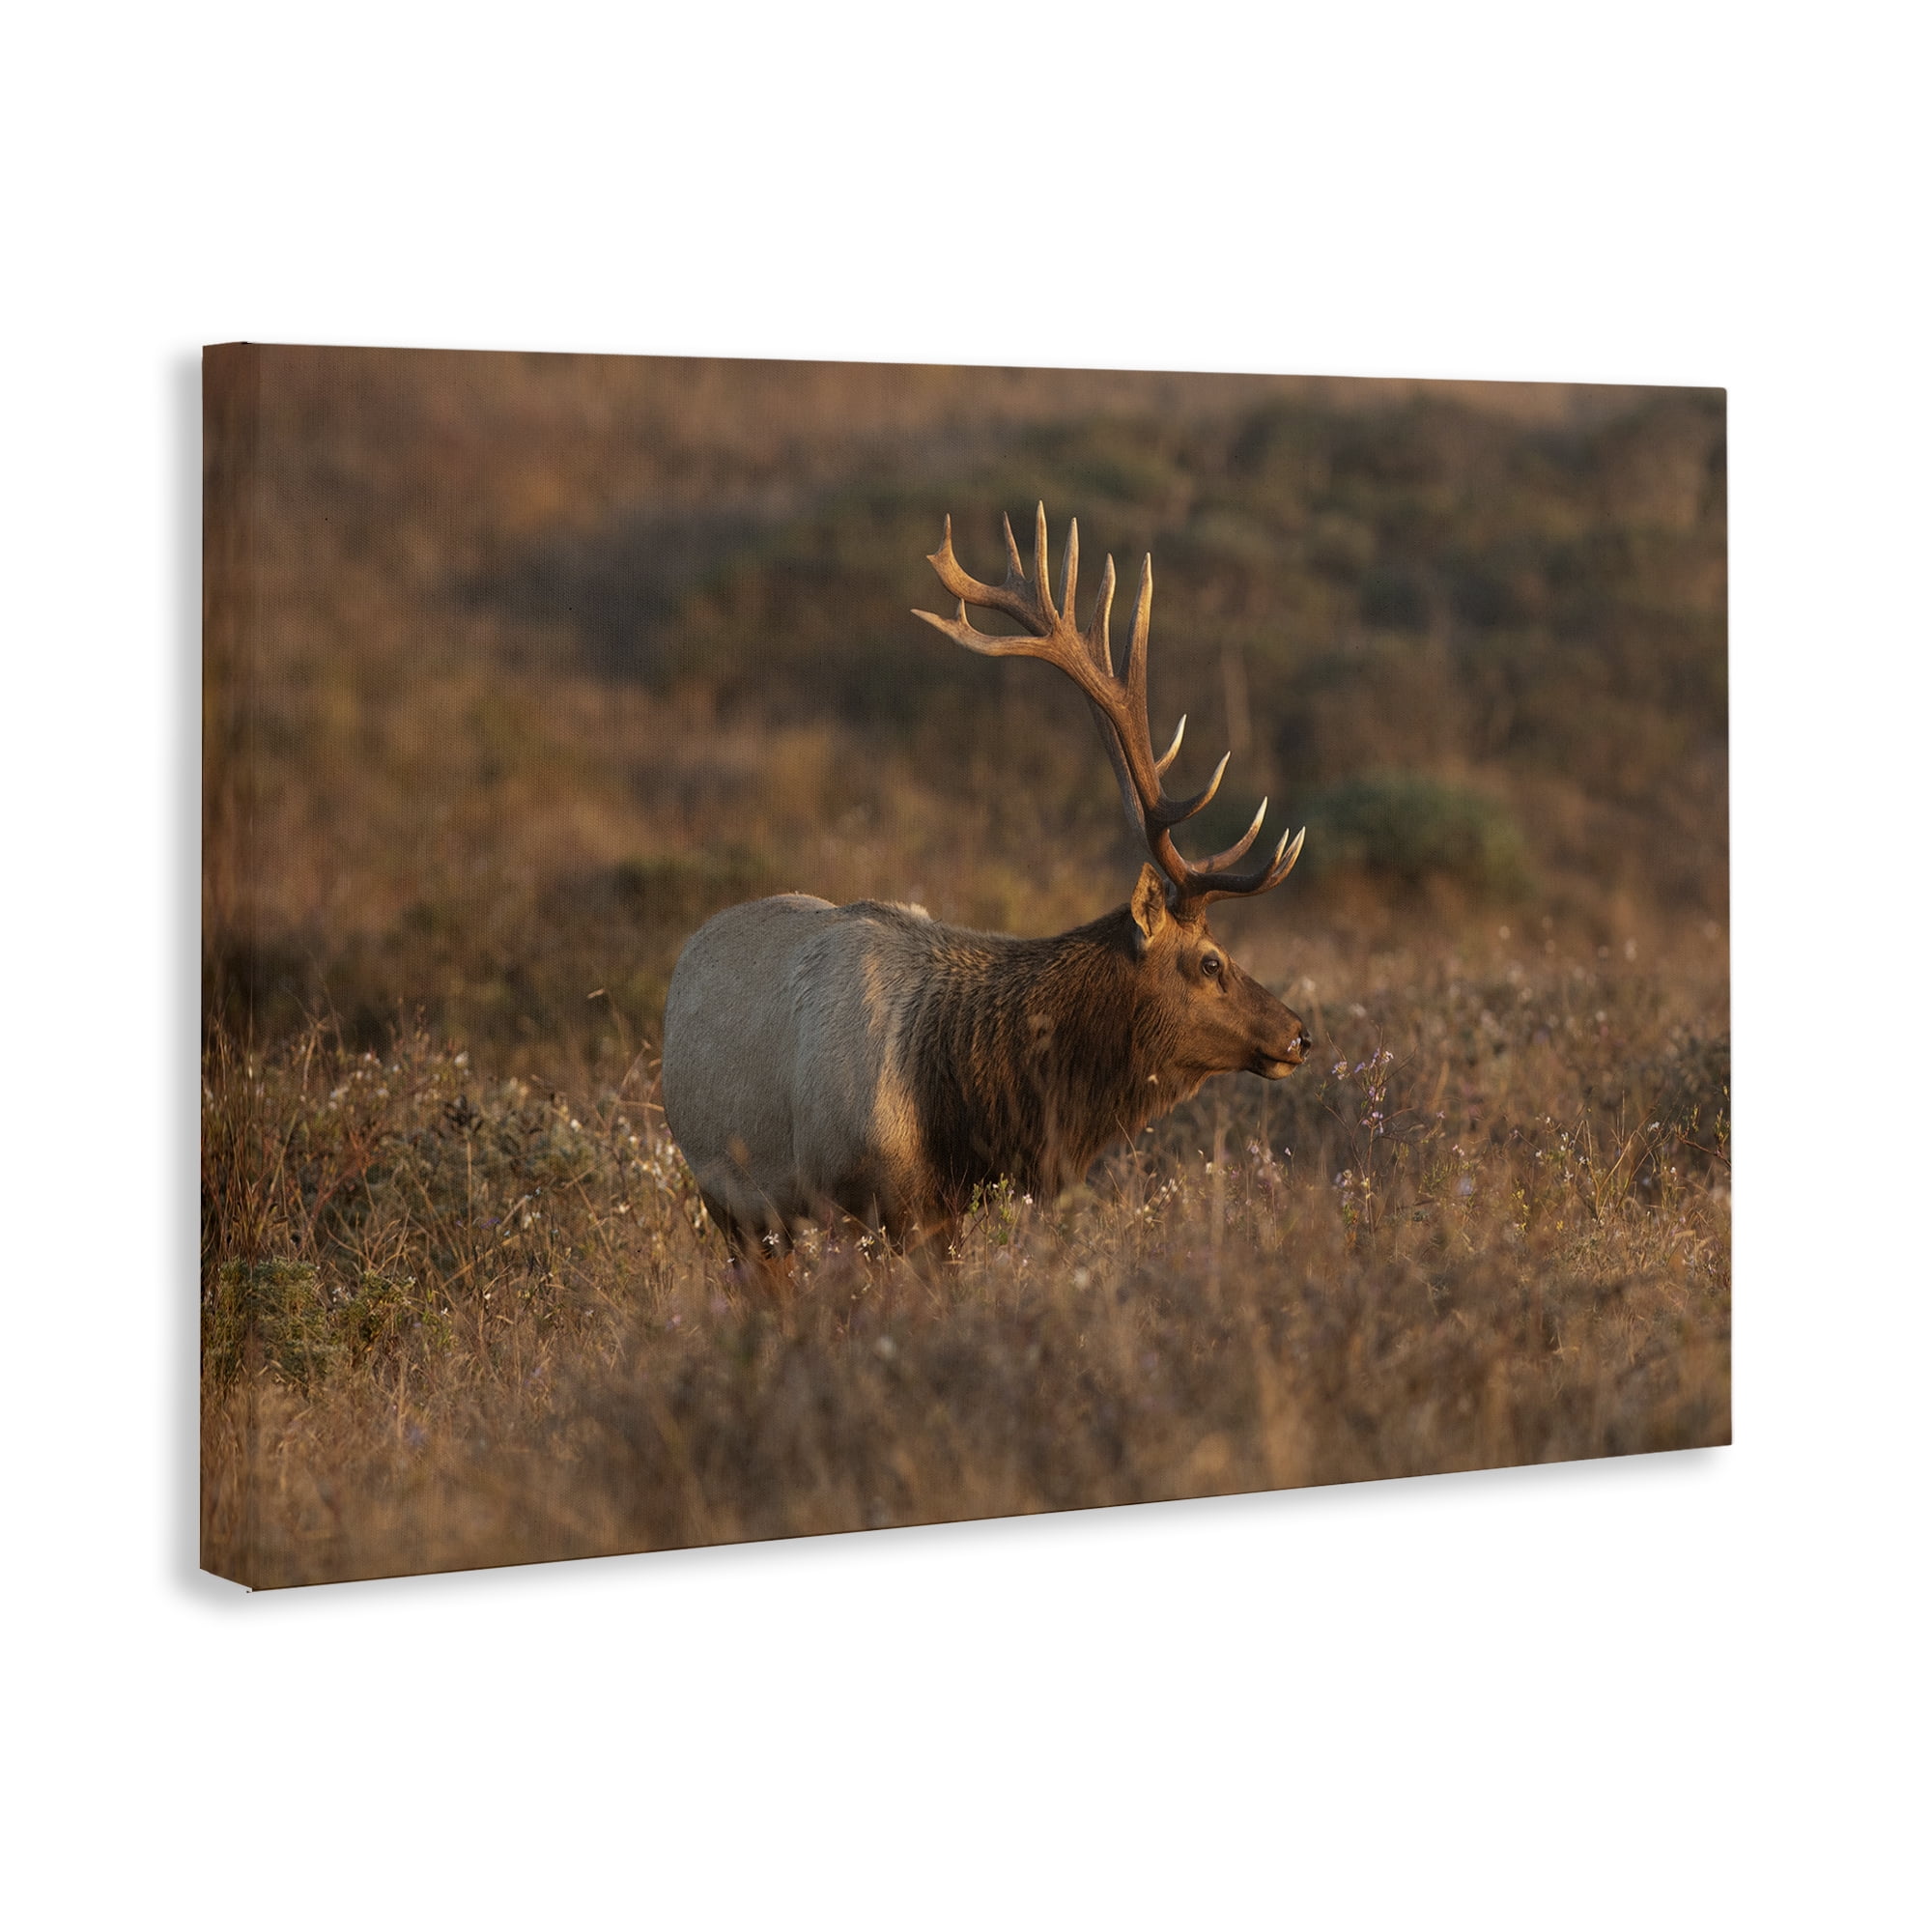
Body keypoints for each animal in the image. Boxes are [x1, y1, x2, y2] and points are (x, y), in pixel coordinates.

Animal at [660, 505, 1311, 1256]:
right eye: (1210, 961)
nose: (1300, 1034)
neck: (953, 1112)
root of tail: (689, 952)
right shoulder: (861, 1203)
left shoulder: (942, 1215)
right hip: (732, 1203)